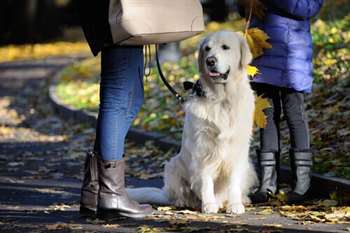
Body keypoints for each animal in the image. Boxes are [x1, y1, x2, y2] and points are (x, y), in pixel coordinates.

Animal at [128, 31, 258, 215]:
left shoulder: (237, 151)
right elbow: (206, 180)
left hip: (249, 167)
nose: (210, 61)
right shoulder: (202, 148)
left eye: (225, 47)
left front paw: (235, 205)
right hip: (173, 165)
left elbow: (234, 183)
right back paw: (188, 202)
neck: (221, 99)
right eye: (207, 48)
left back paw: (241, 200)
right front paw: (209, 205)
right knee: (181, 195)